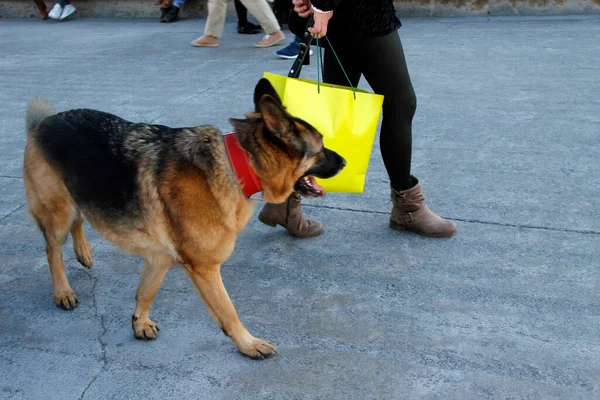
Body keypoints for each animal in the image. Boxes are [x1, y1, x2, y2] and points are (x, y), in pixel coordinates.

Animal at [23, 79, 344, 360]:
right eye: (320, 147)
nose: (344, 162)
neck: (237, 163)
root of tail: (42, 122)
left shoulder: (159, 258)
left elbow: (146, 292)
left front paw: (139, 323)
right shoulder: (204, 268)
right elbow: (228, 310)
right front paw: (248, 344)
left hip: (74, 197)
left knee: (78, 221)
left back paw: (84, 252)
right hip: (57, 211)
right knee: (53, 249)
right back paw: (63, 291)